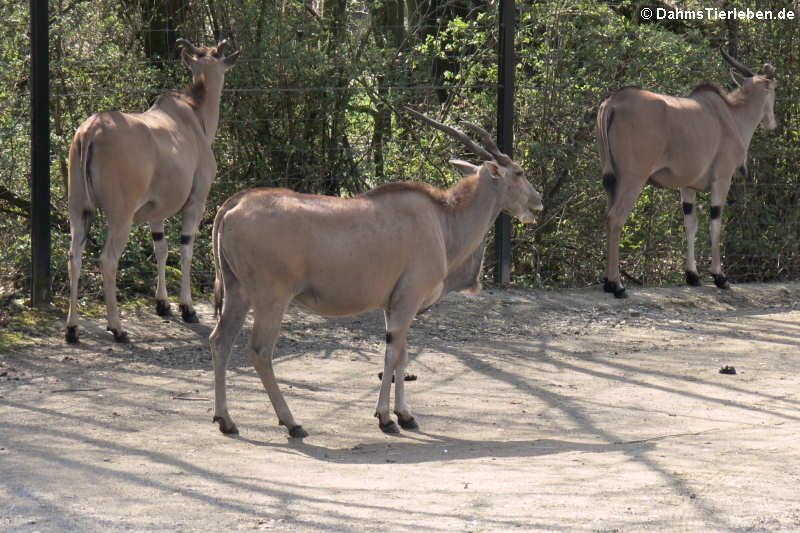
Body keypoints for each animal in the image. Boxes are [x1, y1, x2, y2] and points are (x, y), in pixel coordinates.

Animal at [65, 38, 241, 344]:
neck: (193, 115)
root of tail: (90, 131)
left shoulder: (155, 213)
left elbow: (161, 248)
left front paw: (162, 304)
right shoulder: (196, 203)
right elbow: (185, 249)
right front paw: (187, 308)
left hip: (79, 210)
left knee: (74, 257)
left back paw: (72, 329)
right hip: (120, 215)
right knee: (108, 260)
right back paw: (117, 328)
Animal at [600, 47, 776, 298]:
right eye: (774, 89)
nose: (772, 122)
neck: (732, 115)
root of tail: (613, 103)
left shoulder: (687, 186)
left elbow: (690, 224)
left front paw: (692, 275)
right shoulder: (722, 180)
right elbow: (715, 223)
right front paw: (719, 276)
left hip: (613, 180)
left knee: (607, 215)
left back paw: (607, 282)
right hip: (633, 178)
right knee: (616, 217)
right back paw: (617, 285)